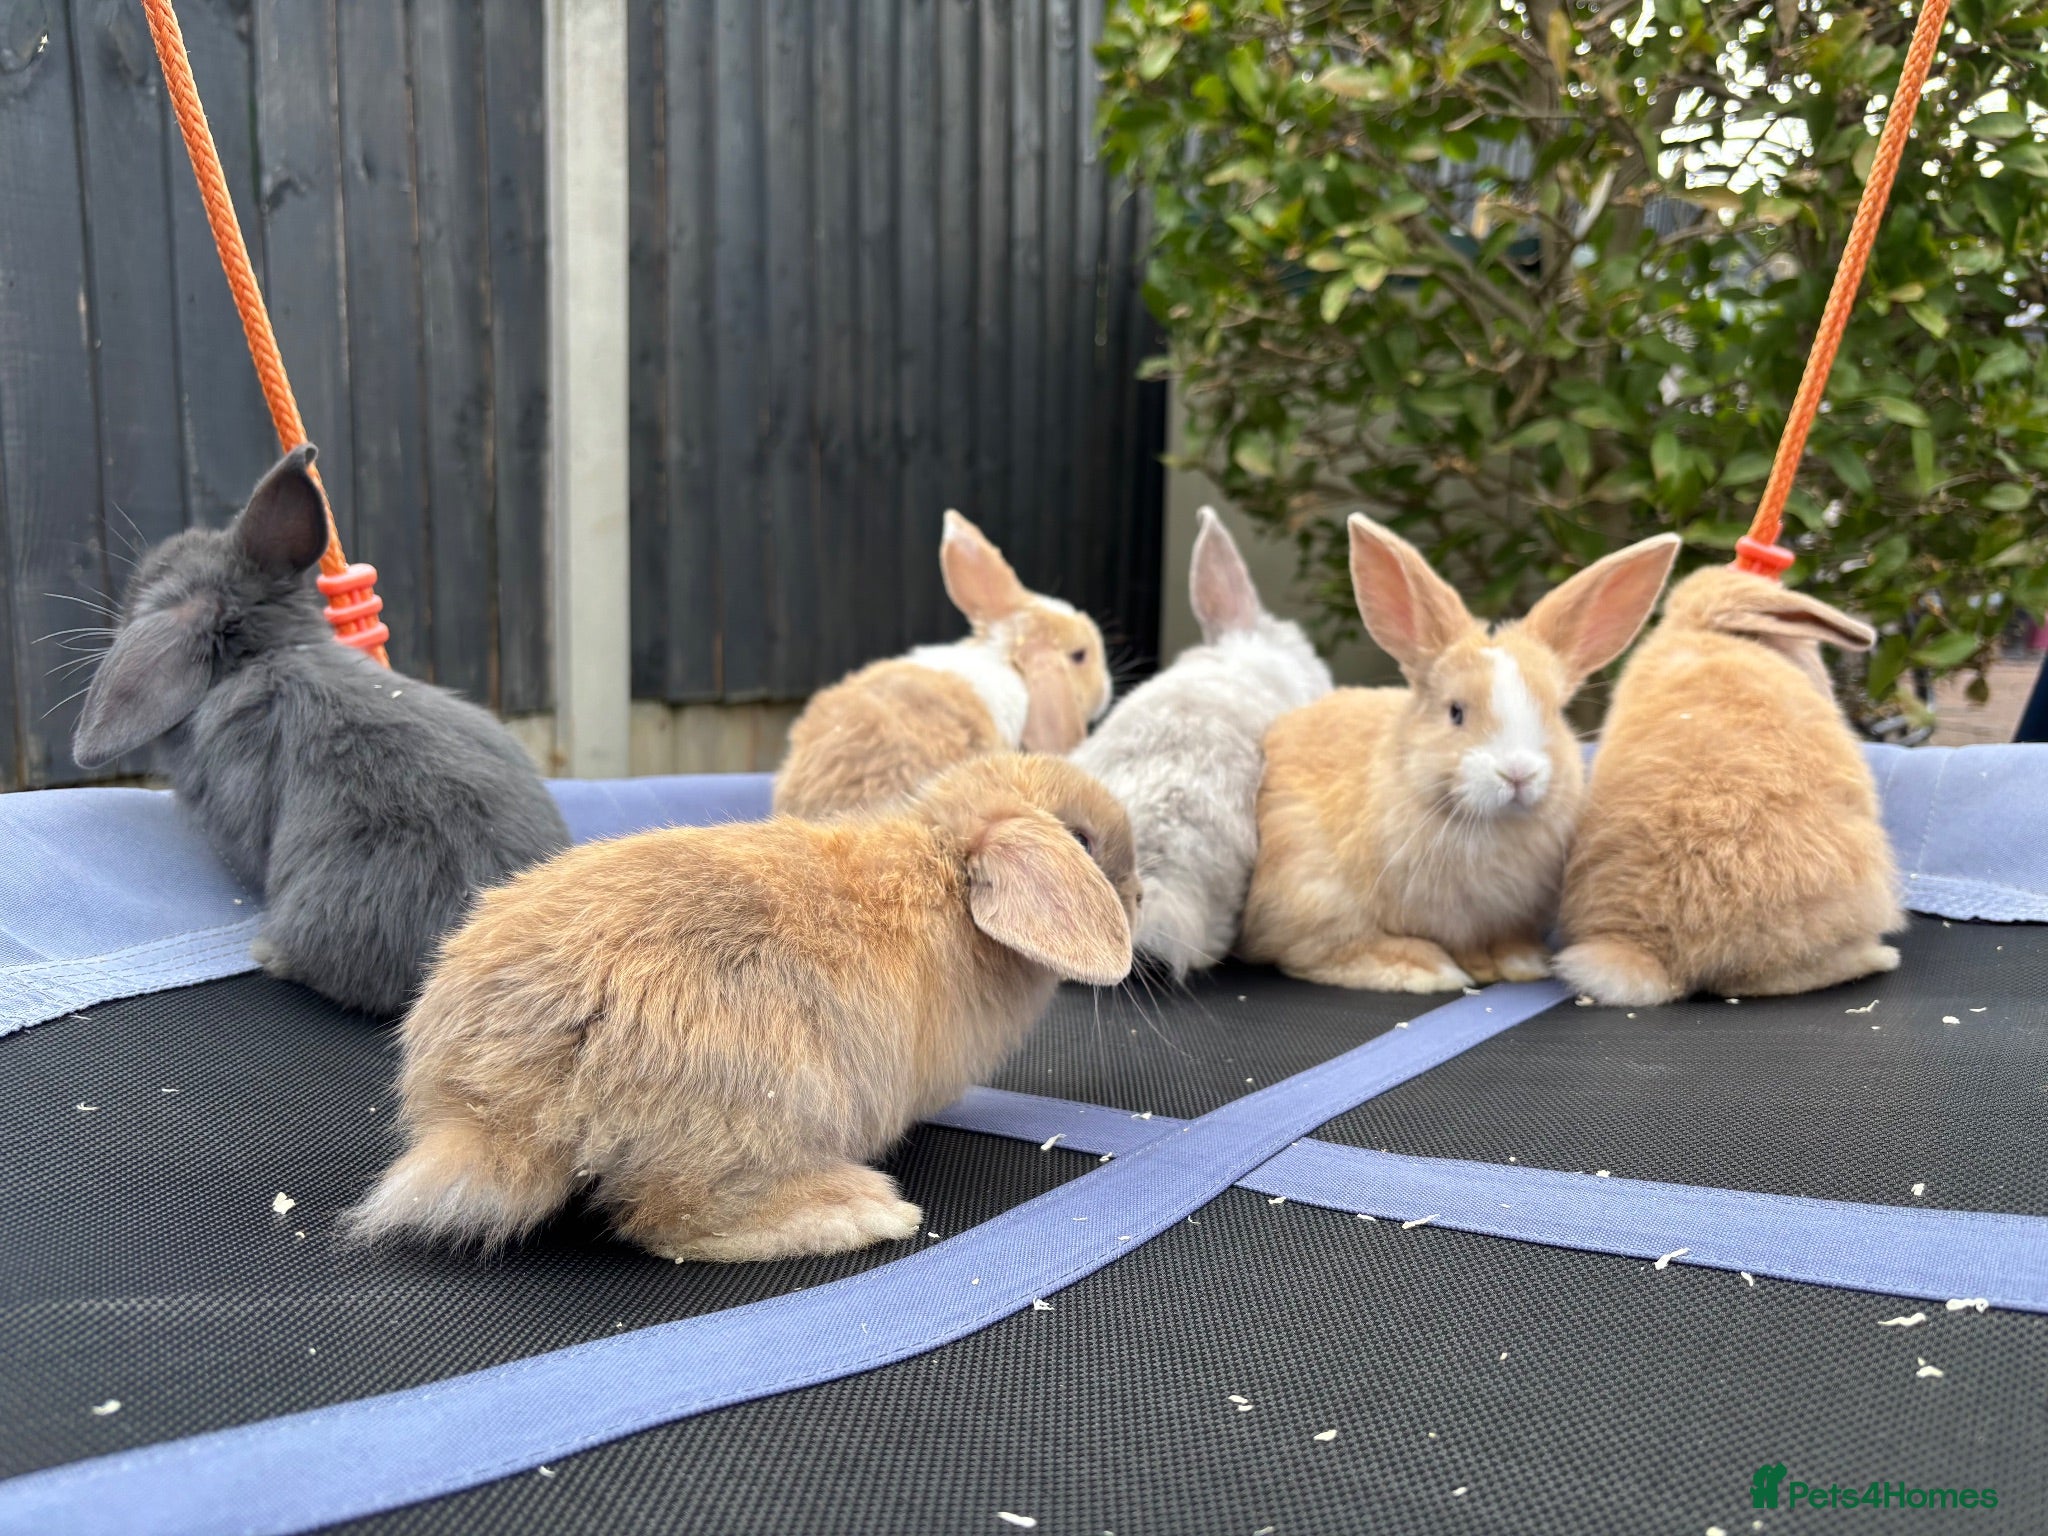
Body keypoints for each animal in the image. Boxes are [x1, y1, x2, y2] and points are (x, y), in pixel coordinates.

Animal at [347, 752, 1139, 1262]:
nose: (1135, 896)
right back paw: (861, 1208)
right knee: (670, 1220)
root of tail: (488, 1110)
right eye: (1084, 841)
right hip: (762, 1110)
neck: (945, 863)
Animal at [1239, 513, 1680, 993]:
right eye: (1455, 712)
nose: (1518, 773)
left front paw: (1522, 962)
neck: (1485, 826)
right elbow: (1344, 948)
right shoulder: (1309, 900)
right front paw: (1427, 969)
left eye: (1553, 714)